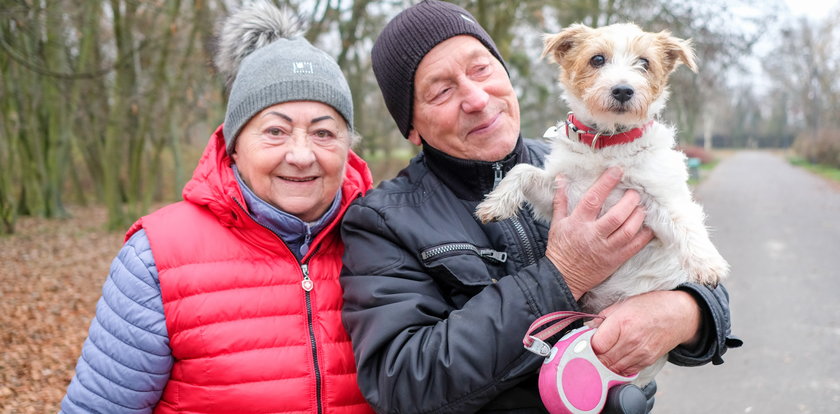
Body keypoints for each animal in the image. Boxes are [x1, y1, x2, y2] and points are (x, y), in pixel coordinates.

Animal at [472, 22, 728, 384]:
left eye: (644, 62)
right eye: (597, 59)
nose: (623, 90)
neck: (606, 143)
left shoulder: (657, 199)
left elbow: (686, 222)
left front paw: (707, 264)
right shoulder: (560, 193)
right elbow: (522, 170)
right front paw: (496, 203)